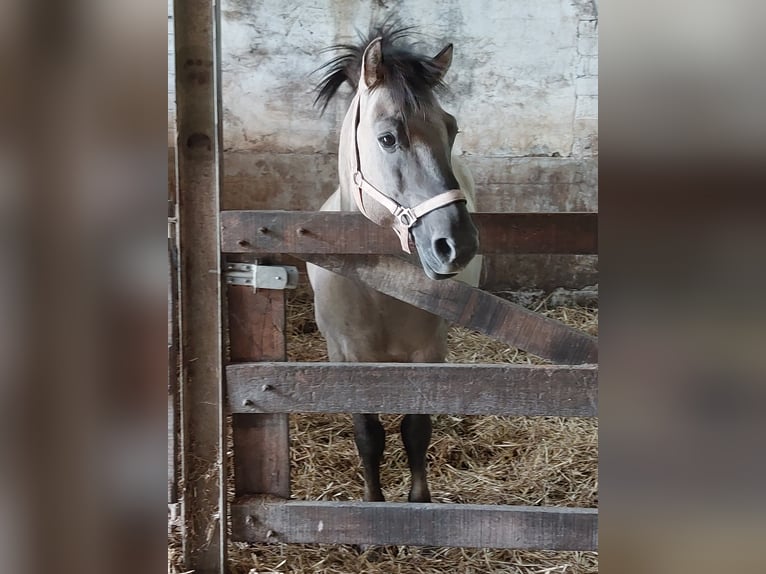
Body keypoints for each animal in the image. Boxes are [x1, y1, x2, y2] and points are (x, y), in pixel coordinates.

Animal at [304, 23, 480, 504]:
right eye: (388, 138)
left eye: (452, 129)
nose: (457, 245)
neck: (379, 288)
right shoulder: (346, 358)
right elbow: (368, 434)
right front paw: (373, 504)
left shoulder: (427, 353)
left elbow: (416, 430)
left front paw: (418, 504)